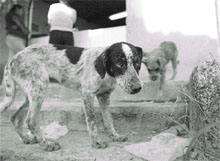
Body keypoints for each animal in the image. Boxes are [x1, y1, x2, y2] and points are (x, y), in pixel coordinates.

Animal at [0, 41, 143, 151]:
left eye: (137, 63)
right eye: (119, 63)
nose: (137, 88)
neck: (106, 73)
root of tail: (12, 60)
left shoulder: (104, 96)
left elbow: (108, 119)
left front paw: (115, 136)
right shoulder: (87, 93)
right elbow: (92, 121)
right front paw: (96, 142)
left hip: (31, 94)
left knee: (15, 117)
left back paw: (26, 138)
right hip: (39, 89)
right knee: (31, 121)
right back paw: (47, 145)